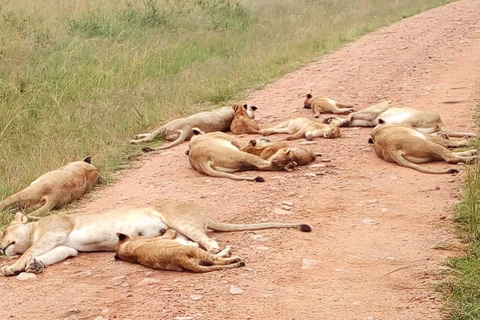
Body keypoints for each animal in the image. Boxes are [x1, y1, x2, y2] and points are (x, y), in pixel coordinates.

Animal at [114, 230, 246, 272]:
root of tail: (180, 260)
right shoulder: (161, 238)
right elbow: (170, 232)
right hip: (194, 250)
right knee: (216, 259)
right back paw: (236, 258)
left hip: (198, 260)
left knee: (214, 262)